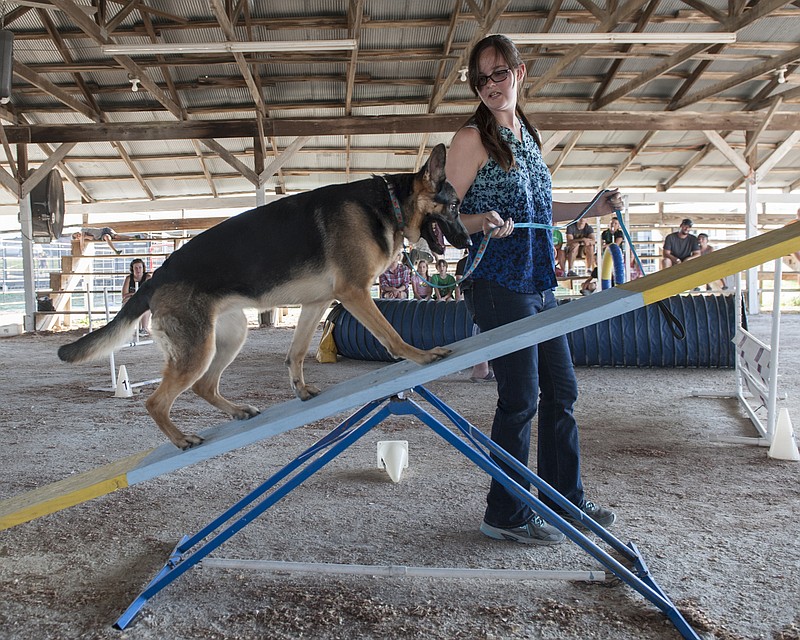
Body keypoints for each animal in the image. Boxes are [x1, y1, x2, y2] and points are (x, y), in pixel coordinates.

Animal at [59, 145, 468, 450]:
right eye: (455, 206)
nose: (468, 241)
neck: (389, 204)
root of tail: (155, 277)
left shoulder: (317, 304)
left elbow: (297, 353)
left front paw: (300, 390)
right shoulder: (354, 292)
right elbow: (391, 335)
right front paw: (421, 355)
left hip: (230, 336)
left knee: (205, 385)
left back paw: (237, 411)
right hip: (198, 350)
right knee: (155, 401)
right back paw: (181, 439)